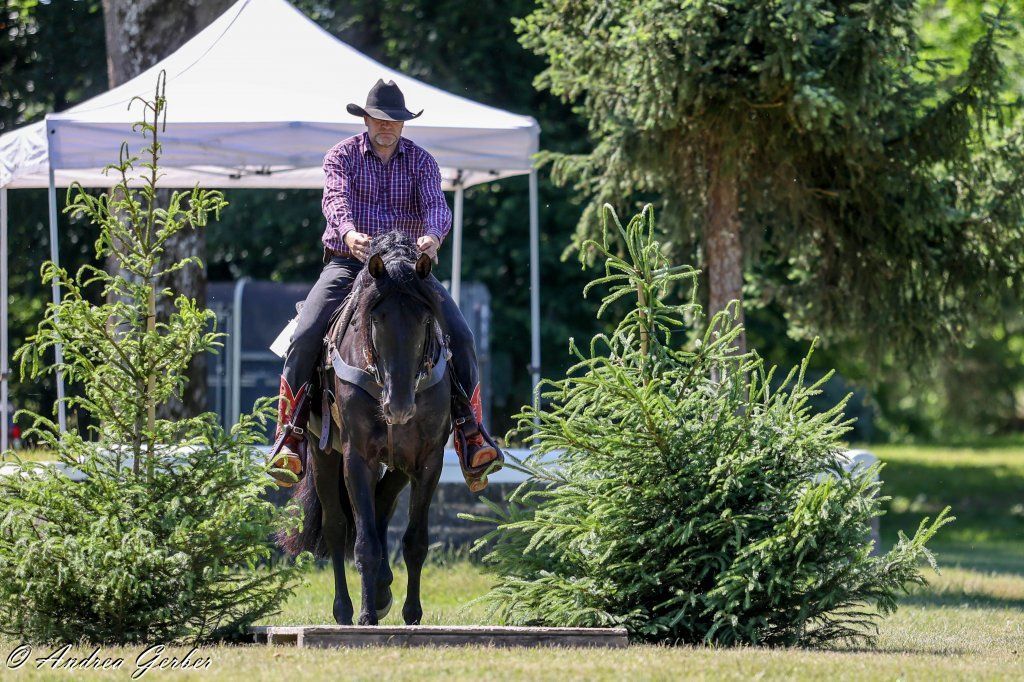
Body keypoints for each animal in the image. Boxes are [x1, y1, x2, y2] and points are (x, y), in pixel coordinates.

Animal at [278, 232, 452, 626]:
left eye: (425, 317)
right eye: (376, 318)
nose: (399, 407)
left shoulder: (428, 460)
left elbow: (415, 541)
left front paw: (412, 613)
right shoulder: (357, 458)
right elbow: (364, 544)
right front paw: (367, 616)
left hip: (399, 462)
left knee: (381, 504)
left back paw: (384, 589)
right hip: (324, 455)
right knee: (337, 525)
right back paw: (344, 608)